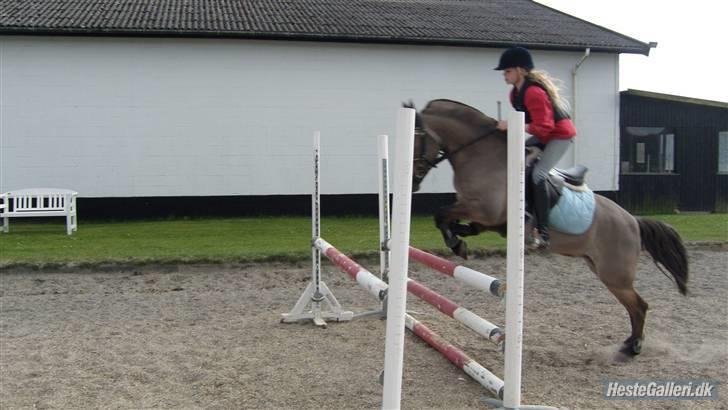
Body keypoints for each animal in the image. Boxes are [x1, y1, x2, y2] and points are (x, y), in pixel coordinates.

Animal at [410, 97, 688, 358]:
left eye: (416, 139)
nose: (413, 183)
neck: (479, 153)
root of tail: (633, 221)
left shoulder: (484, 210)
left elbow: (440, 214)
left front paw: (456, 243)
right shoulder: (487, 220)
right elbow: (453, 221)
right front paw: (459, 242)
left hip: (614, 274)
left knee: (640, 305)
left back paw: (633, 348)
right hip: (601, 269)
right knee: (634, 306)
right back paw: (629, 344)